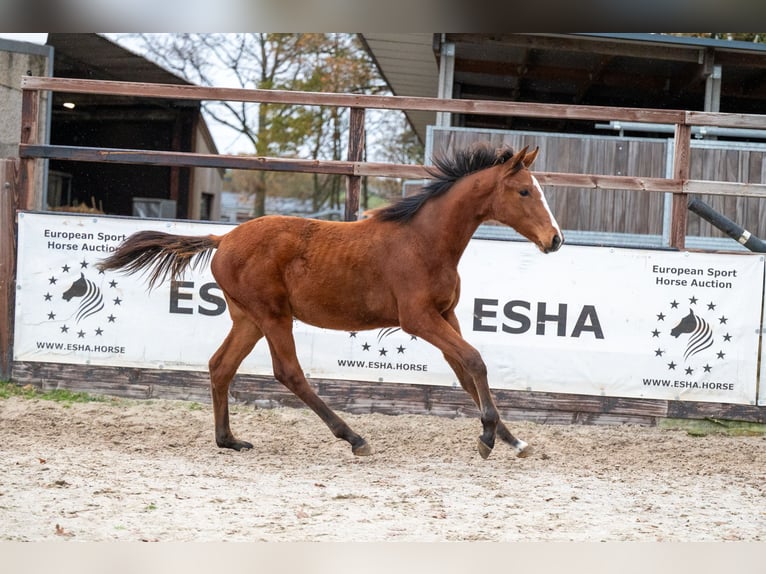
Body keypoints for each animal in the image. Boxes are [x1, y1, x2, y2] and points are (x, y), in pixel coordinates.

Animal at [98, 144, 563, 459]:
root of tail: (223, 238)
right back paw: (354, 438)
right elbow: (474, 361)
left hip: (248, 318)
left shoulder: (446, 315)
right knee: (288, 372)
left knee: (220, 366)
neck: (424, 241)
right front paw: (487, 437)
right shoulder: (418, 319)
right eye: (524, 191)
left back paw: (228, 440)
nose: (555, 239)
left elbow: (466, 372)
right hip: (272, 314)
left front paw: (512, 440)